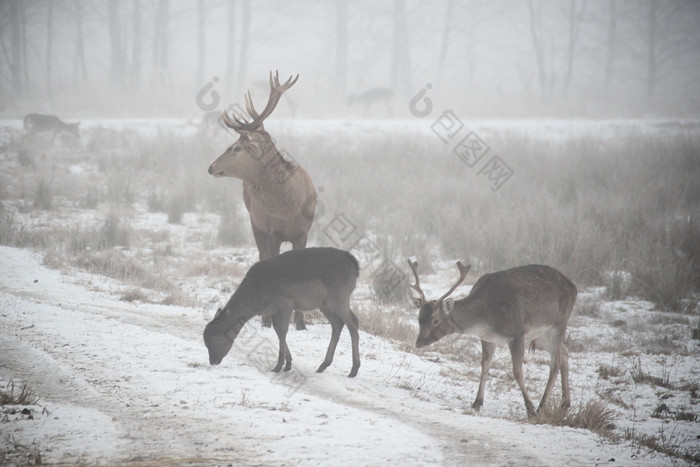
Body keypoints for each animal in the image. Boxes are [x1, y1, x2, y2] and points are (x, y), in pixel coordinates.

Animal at [202, 249, 360, 376]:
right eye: (205, 341)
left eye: (214, 341)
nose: (212, 361)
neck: (255, 298)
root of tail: (354, 263)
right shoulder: (273, 309)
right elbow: (277, 331)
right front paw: (288, 363)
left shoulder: (285, 303)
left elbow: (283, 330)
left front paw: (278, 366)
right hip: (325, 304)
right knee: (337, 324)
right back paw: (323, 365)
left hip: (339, 296)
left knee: (353, 322)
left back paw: (354, 369)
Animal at [208, 71, 318, 330]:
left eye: (236, 148)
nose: (211, 167)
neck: (288, 207)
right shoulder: (272, 230)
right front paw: (273, 319)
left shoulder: (303, 231)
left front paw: (301, 323)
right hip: (255, 224)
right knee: (261, 257)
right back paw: (265, 316)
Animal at [408, 262, 576, 418]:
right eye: (419, 318)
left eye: (435, 320)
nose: (418, 343)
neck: (485, 317)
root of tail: (573, 288)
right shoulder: (488, 338)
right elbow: (485, 365)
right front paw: (477, 402)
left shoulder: (517, 334)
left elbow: (517, 372)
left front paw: (530, 409)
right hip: (541, 335)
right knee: (565, 352)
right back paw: (565, 404)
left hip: (558, 324)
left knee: (555, 363)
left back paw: (541, 406)